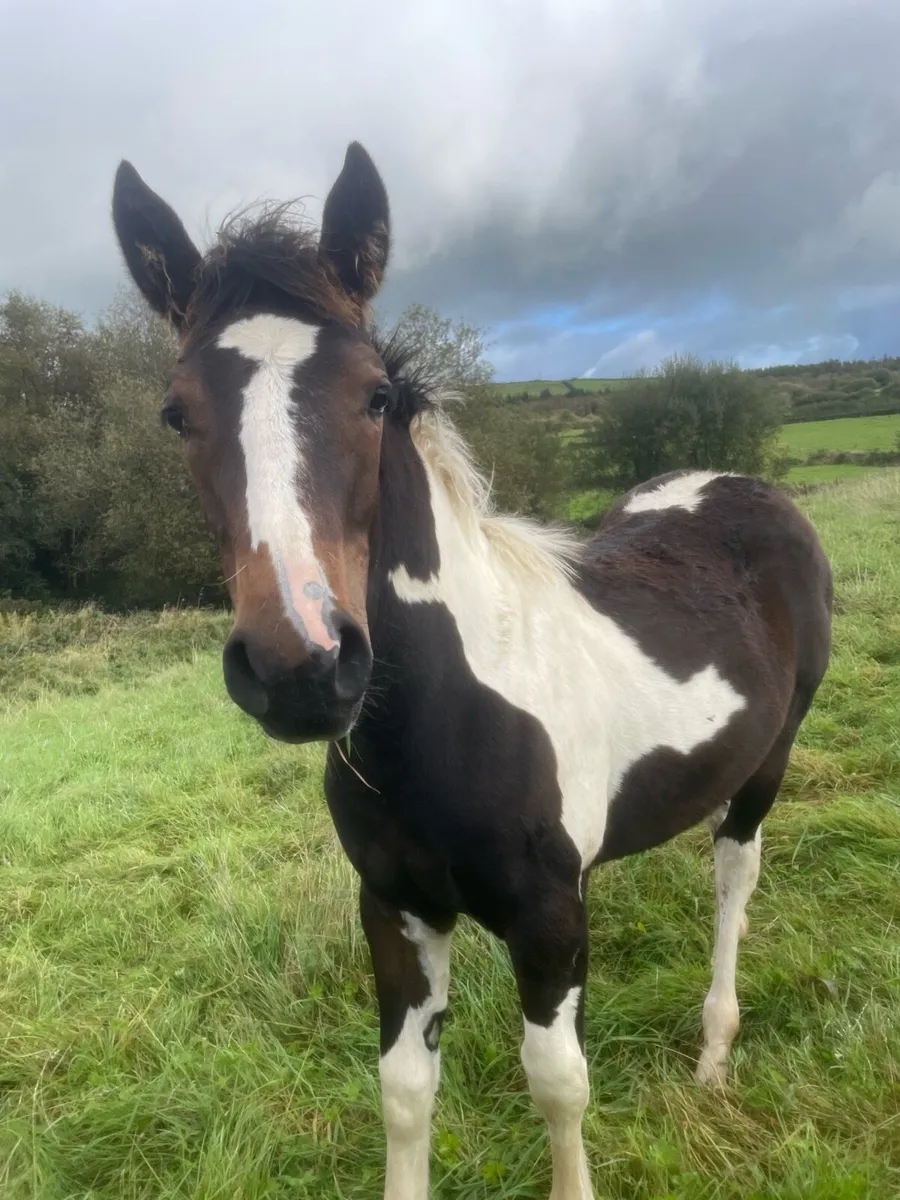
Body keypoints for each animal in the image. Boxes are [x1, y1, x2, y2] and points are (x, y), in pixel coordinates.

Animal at [111, 142, 832, 1200]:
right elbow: (406, 1090)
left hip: (767, 761)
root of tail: (744, 486)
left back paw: (714, 1053)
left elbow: (559, 1084)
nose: (302, 665)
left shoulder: (547, 919)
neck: (447, 712)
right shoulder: (399, 911)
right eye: (176, 413)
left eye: (375, 394)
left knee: (735, 874)